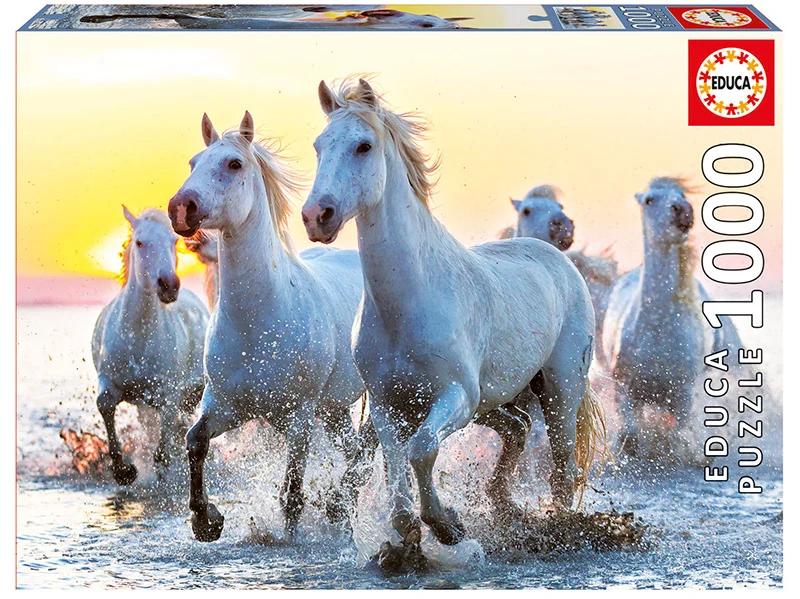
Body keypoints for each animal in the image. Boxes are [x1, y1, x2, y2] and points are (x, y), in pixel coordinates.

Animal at [91, 207, 209, 485]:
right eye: (139, 242)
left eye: (174, 241)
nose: (168, 285)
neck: (139, 337)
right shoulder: (109, 380)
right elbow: (105, 404)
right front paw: (124, 471)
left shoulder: (169, 394)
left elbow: (163, 451)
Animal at [168, 112, 375, 543]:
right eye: (194, 162)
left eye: (234, 164)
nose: (181, 208)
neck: (257, 325)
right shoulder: (226, 406)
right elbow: (195, 441)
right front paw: (206, 520)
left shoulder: (299, 418)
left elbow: (292, 494)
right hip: (334, 410)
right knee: (351, 450)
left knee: (365, 451)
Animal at [302, 78, 605, 547]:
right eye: (319, 146)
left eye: (363, 146)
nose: (317, 215)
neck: (407, 306)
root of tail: (560, 261)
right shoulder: (388, 405)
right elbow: (394, 461)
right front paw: (407, 530)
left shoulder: (457, 396)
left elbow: (421, 449)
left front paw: (446, 525)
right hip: (498, 400)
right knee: (517, 429)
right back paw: (501, 504)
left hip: (559, 390)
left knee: (562, 465)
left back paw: (557, 526)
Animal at [600, 177, 742, 454]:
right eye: (649, 200)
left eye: (682, 195)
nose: (683, 210)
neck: (658, 327)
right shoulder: (624, 390)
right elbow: (630, 435)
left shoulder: (682, 397)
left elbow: (675, 437)